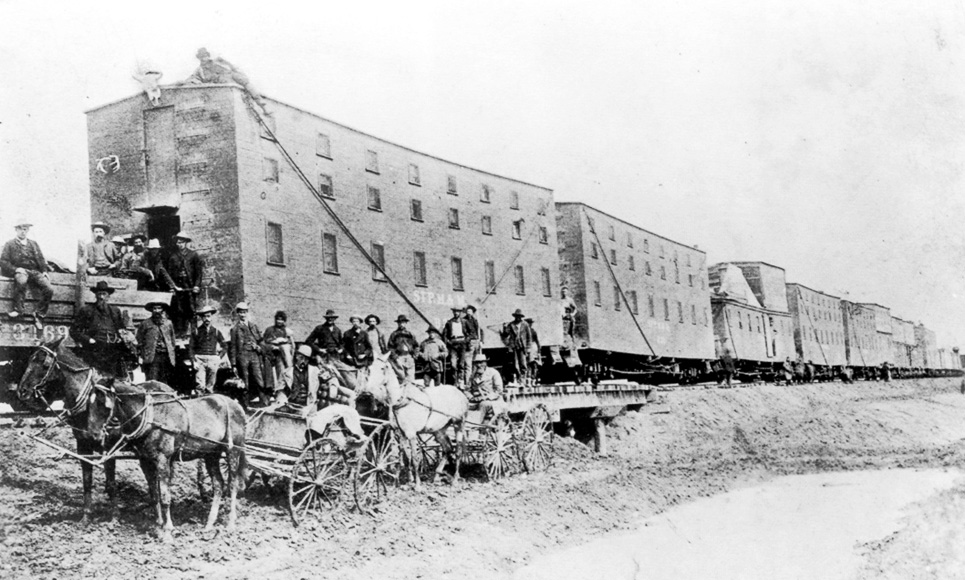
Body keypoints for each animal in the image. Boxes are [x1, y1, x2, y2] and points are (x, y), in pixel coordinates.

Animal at [17, 338, 175, 524]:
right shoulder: (83, 447)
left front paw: (114, 517)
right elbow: (87, 481)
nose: (21, 390)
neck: (87, 404)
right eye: (30, 359)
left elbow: (111, 484)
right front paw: (86, 516)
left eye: (44, 363)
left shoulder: (109, 449)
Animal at [84, 382, 247, 540]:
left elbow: (164, 496)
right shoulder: (146, 462)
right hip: (211, 455)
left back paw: (230, 524)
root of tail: (236, 404)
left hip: (233, 451)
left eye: (104, 404)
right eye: (89, 405)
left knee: (233, 484)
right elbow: (154, 495)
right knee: (218, 484)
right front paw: (158, 527)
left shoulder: (163, 459)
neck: (151, 416)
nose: (93, 435)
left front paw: (168, 530)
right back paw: (209, 524)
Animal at [360, 356, 468, 488]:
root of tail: (460, 393)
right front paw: (405, 481)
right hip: (439, 430)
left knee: (458, 451)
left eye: (382, 368)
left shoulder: (411, 434)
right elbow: (406, 459)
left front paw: (417, 485)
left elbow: (415, 458)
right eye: (370, 368)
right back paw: (437, 476)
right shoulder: (400, 433)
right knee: (447, 449)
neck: (402, 400)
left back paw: (455, 479)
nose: (367, 391)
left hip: (459, 424)